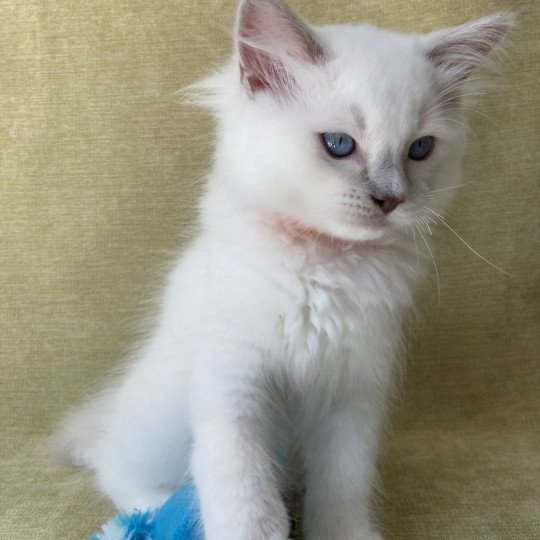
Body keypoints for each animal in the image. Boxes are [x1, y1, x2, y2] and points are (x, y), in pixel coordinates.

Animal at [52, 2, 512, 536]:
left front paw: (342, 533)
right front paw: (253, 528)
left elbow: (342, 487)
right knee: (116, 471)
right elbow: (242, 489)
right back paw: (155, 509)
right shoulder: (234, 379)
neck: (328, 262)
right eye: (338, 144)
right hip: (156, 429)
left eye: (420, 149)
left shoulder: (353, 394)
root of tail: (108, 414)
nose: (391, 198)